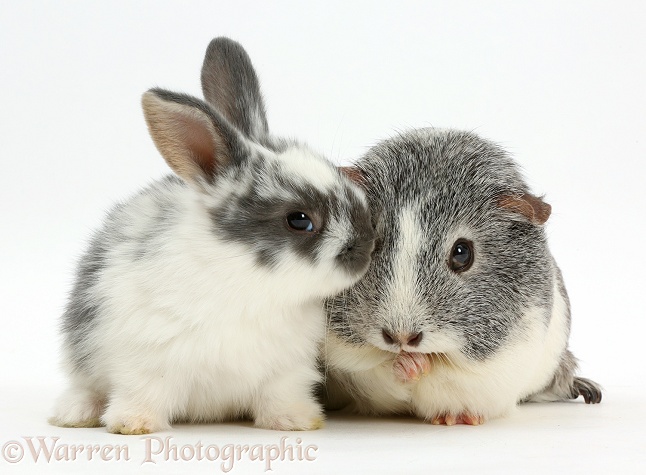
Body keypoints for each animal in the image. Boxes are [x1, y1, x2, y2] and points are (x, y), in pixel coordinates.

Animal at [50, 36, 374, 436]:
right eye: (299, 220)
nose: (369, 244)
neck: (250, 286)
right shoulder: (145, 360)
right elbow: (142, 392)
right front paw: (133, 424)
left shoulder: (287, 368)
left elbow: (281, 396)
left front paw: (296, 421)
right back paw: (74, 413)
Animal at [326, 128, 604, 426]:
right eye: (373, 242)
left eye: (462, 253)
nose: (401, 338)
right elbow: (378, 369)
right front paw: (409, 364)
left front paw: (449, 410)